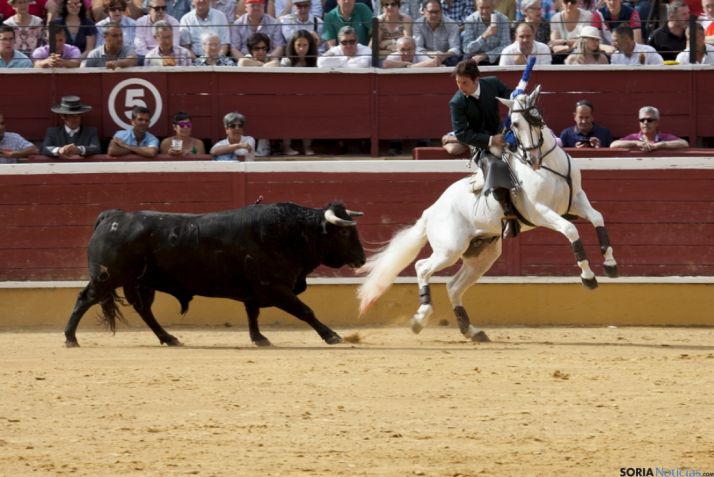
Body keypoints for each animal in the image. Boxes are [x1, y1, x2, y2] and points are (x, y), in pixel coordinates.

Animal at [357, 85, 618, 343]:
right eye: (514, 124)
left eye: (536, 117)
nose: (533, 159)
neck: (548, 165)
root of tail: (431, 211)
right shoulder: (540, 212)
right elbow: (570, 229)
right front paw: (588, 277)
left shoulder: (576, 200)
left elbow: (598, 218)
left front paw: (610, 265)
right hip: (450, 249)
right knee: (423, 267)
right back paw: (420, 317)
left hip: (482, 255)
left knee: (453, 286)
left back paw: (471, 330)